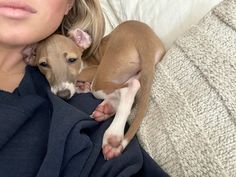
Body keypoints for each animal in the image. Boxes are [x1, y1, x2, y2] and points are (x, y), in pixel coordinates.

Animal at [25, 21, 165, 160]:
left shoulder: (92, 70)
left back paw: (113, 134)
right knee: (134, 88)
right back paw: (106, 109)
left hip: (101, 77)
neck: (84, 61)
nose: (63, 95)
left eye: (72, 60)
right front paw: (82, 87)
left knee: (131, 86)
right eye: (43, 64)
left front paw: (80, 86)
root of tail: (144, 42)